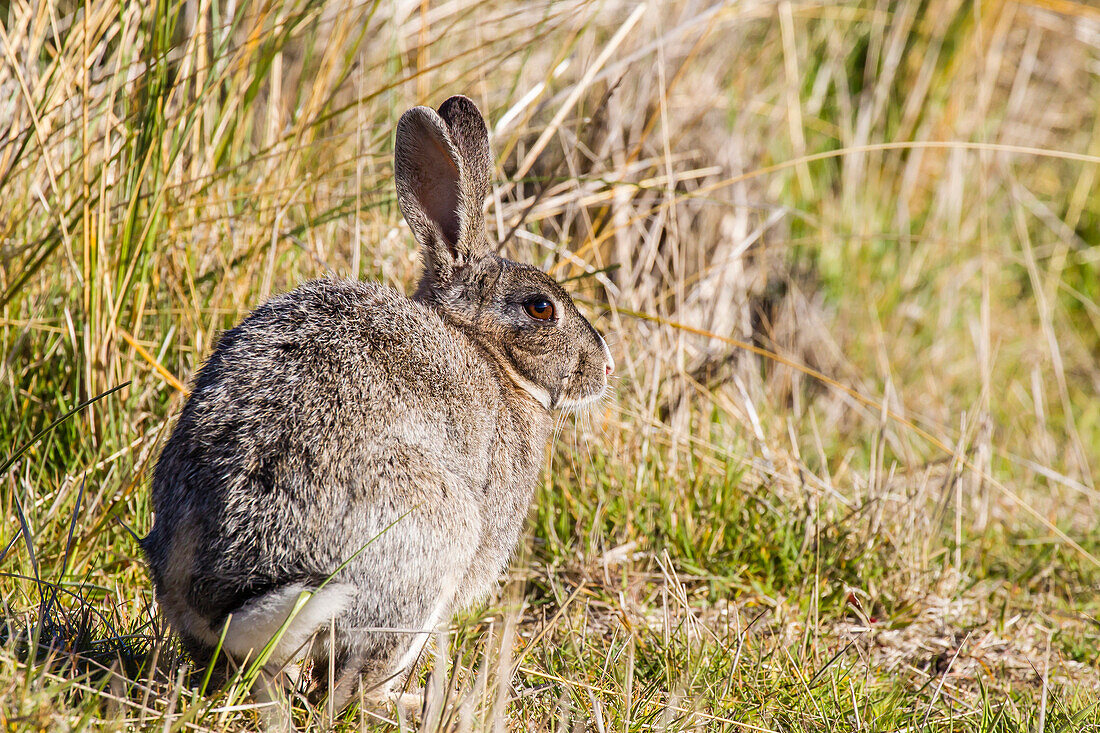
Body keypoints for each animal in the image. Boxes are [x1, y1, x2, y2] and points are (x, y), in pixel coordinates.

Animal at [139, 94, 611, 717]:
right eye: (540, 308)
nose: (604, 368)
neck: (482, 348)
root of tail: (223, 606)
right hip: (431, 544)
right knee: (356, 688)